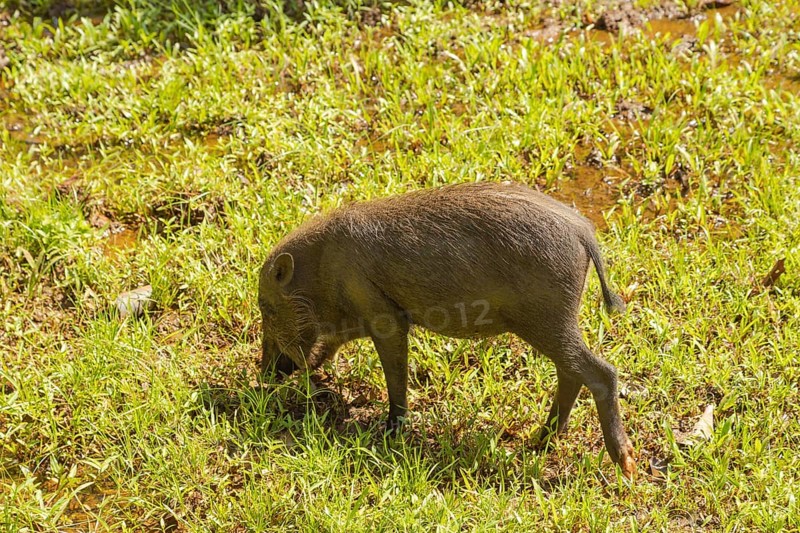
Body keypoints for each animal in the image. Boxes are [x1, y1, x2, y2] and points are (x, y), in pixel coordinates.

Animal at [258, 181, 635, 478]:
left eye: (267, 307)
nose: (263, 376)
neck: (320, 270)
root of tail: (583, 232)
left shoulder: (385, 317)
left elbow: (395, 376)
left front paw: (390, 432)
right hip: (553, 324)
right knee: (571, 373)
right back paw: (538, 443)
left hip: (547, 320)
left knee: (601, 372)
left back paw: (625, 464)